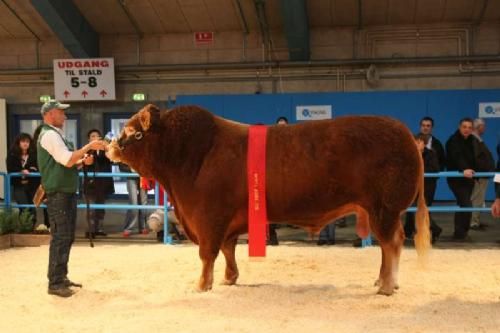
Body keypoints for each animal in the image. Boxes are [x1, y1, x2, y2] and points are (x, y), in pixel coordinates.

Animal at [107, 104, 432, 296]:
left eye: (133, 132)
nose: (110, 146)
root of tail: (405, 134)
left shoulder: (208, 216)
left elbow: (207, 253)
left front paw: (202, 285)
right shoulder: (226, 220)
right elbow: (227, 249)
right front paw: (229, 278)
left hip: (384, 208)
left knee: (392, 242)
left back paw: (387, 286)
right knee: (389, 244)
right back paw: (383, 281)